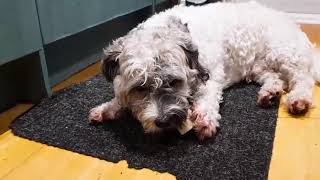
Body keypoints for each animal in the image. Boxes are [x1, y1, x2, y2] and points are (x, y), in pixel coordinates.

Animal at [89, 0, 320, 140]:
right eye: (140, 88)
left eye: (174, 82)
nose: (163, 121)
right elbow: (119, 98)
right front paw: (108, 108)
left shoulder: (211, 75)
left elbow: (208, 97)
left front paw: (205, 118)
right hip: (258, 67)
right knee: (276, 78)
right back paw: (269, 93)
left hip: (283, 51)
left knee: (302, 77)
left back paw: (298, 99)